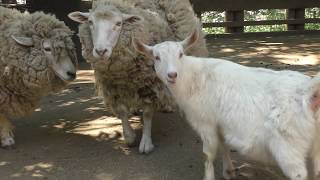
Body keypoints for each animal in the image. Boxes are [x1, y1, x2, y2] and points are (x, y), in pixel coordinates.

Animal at [67, 0, 208, 153]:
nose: (100, 51)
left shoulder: (150, 84)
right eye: (90, 22)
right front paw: (129, 136)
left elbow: (147, 114)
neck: (122, 72)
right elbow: (122, 111)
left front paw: (146, 142)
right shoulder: (113, 86)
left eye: (119, 23)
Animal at [132, 29, 320, 180]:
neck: (193, 78)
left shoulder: (205, 122)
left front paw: (209, 177)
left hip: (288, 147)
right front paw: (229, 171)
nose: (172, 75)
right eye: (157, 57)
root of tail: (309, 92)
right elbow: (223, 144)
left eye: (180, 54)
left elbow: (207, 155)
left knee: (299, 174)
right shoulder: (220, 123)